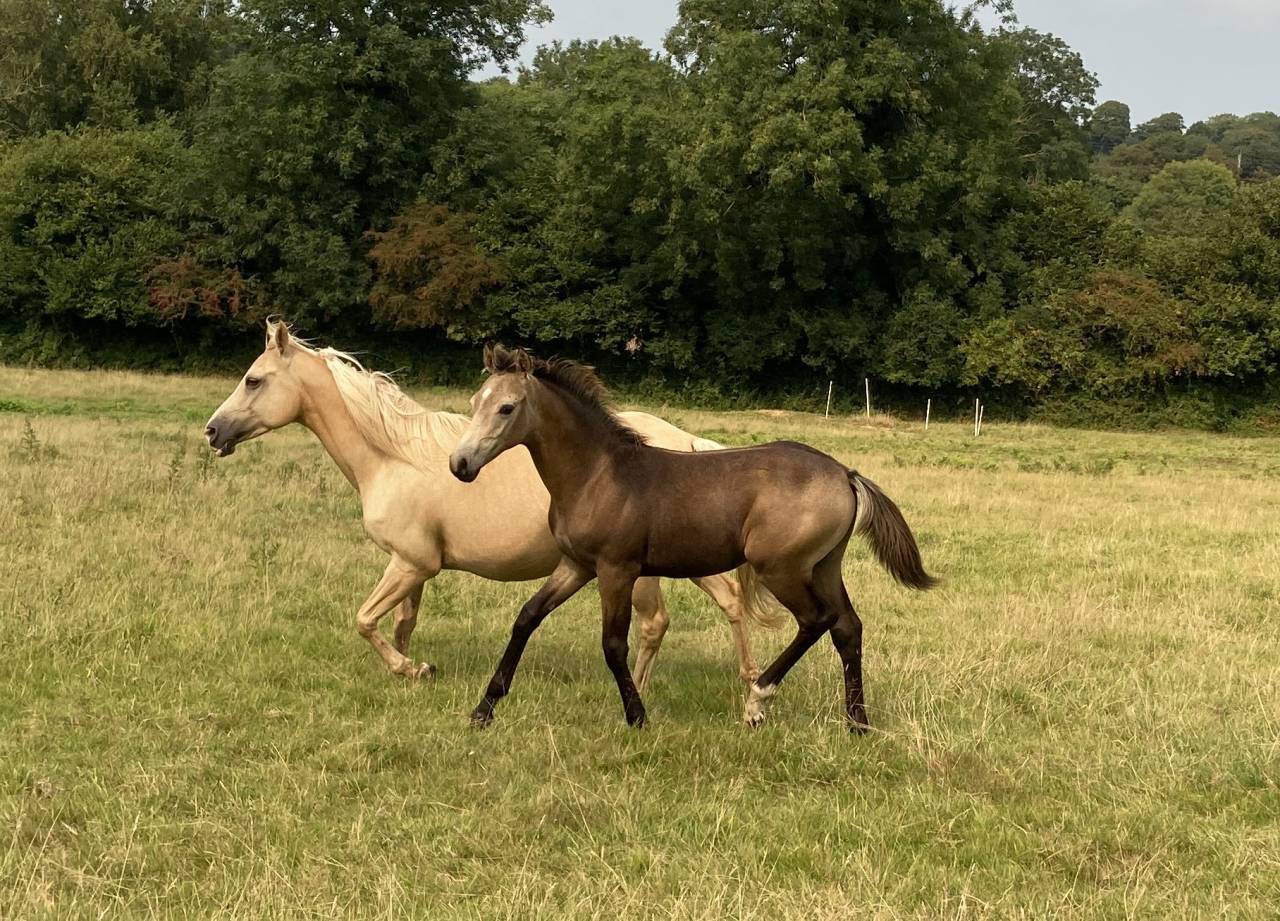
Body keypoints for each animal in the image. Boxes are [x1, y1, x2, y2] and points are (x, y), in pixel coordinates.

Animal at [203, 321, 780, 687]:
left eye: (253, 380)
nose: (212, 431)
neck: (393, 457)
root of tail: (687, 444)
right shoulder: (416, 570)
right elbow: (402, 624)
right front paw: (414, 670)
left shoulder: (409, 563)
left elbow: (365, 620)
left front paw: (410, 670)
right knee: (729, 599)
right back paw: (747, 680)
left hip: (639, 572)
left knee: (660, 621)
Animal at [449, 344, 937, 731]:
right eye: (475, 401)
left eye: (507, 407)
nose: (460, 464)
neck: (598, 475)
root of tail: (845, 474)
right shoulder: (576, 565)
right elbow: (527, 618)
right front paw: (483, 710)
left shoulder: (616, 569)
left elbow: (613, 644)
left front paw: (637, 716)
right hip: (824, 566)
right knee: (847, 628)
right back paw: (857, 722)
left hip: (781, 568)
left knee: (816, 621)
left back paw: (758, 702)